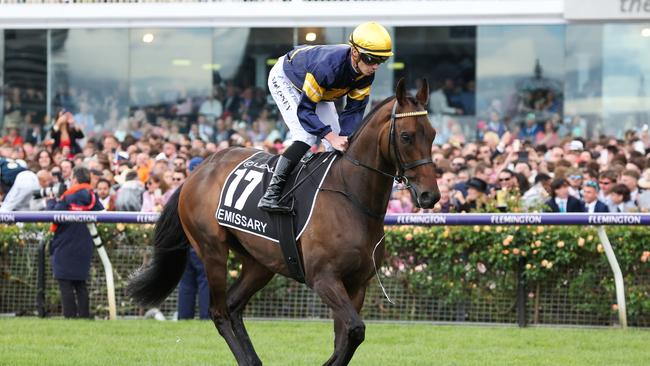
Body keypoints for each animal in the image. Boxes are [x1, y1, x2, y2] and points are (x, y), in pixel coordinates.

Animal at [126, 78, 438, 364]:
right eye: (407, 136)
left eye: (433, 134)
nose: (430, 195)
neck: (351, 196)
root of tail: (197, 171)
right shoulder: (323, 278)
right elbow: (354, 330)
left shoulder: (357, 283)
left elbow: (346, 337)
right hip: (212, 250)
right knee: (219, 311)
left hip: (260, 262)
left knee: (234, 306)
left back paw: (253, 360)